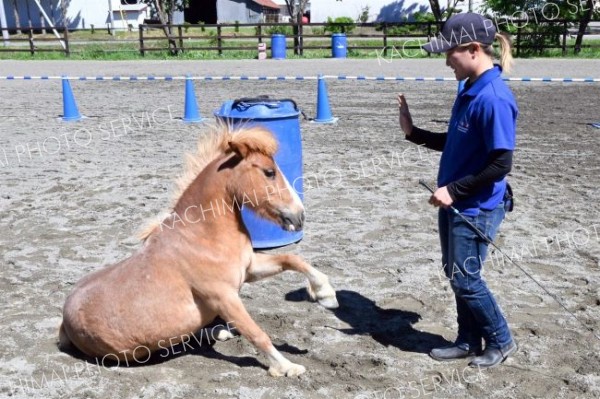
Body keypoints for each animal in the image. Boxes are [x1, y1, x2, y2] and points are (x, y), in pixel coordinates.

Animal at [62, 125, 342, 378]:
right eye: (269, 172)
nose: (299, 216)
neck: (201, 237)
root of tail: (64, 320)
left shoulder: (249, 268)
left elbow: (292, 258)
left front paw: (325, 295)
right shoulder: (223, 296)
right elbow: (256, 332)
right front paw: (287, 367)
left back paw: (218, 331)